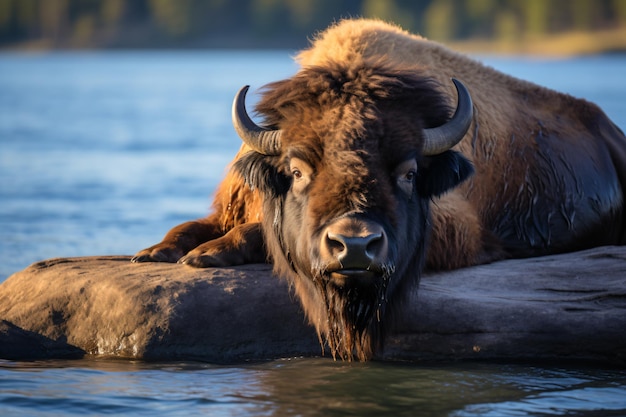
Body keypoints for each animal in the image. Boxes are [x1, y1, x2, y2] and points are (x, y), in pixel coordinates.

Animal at [132, 17, 624, 360]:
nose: (355, 247)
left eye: (409, 172)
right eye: (296, 170)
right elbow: (190, 226)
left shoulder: (453, 229)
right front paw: (154, 253)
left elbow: (253, 234)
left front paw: (206, 255)